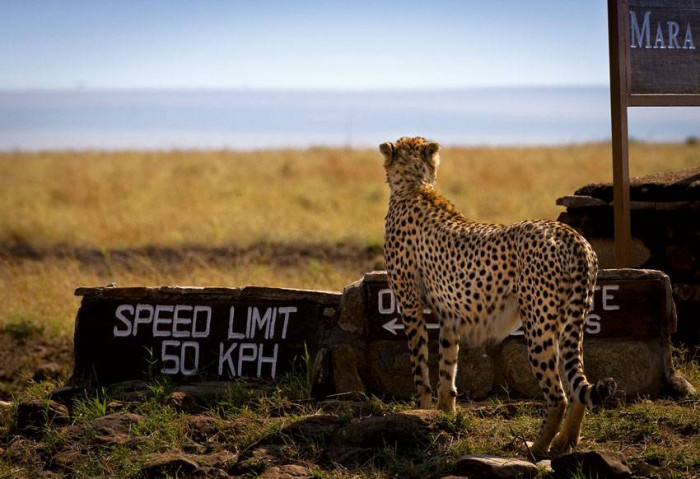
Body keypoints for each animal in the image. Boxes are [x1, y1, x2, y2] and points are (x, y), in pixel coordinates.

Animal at [380, 136, 616, 458]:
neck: (415, 185)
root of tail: (569, 233)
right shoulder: (450, 314)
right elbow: (447, 367)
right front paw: (445, 414)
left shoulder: (409, 303)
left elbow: (419, 366)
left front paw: (423, 411)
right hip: (570, 321)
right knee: (577, 382)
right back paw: (565, 442)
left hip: (538, 324)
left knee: (558, 395)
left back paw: (536, 448)